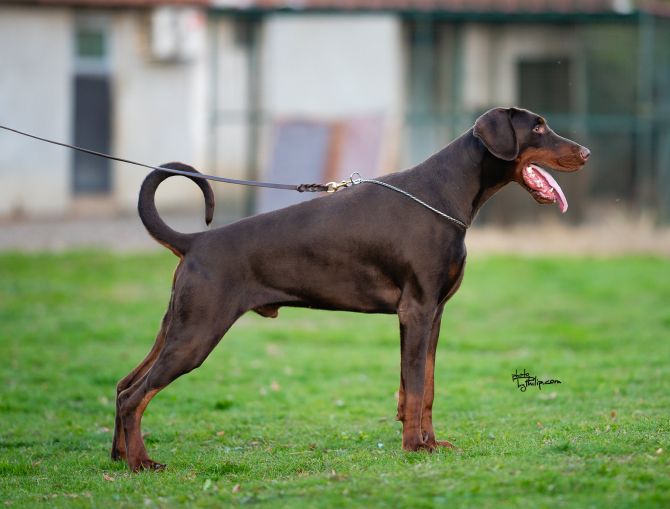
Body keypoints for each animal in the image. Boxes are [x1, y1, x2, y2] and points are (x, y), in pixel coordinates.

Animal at [111, 107, 589, 471]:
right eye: (538, 127)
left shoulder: (433, 313)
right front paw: (415, 448)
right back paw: (141, 463)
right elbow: (418, 385)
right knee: (136, 396)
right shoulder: (416, 310)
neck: (446, 193)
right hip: (197, 332)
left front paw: (431, 443)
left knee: (123, 386)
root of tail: (195, 241)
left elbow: (424, 386)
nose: (585, 152)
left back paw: (118, 458)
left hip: (177, 325)